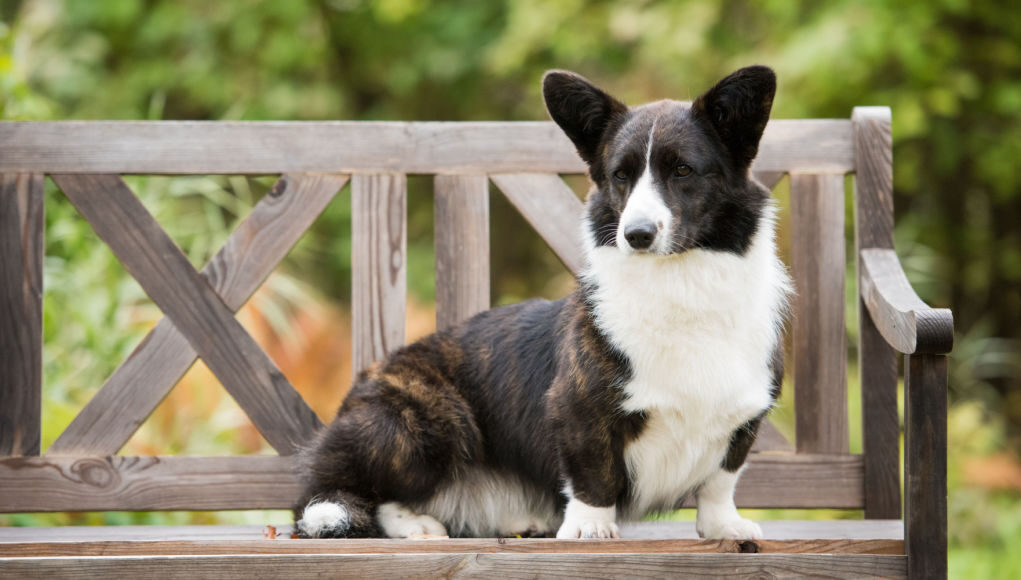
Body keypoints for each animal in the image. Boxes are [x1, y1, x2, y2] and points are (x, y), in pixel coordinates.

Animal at [294, 65, 788, 543]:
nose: (636, 235)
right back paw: (415, 525)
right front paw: (589, 527)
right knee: (346, 495)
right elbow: (593, 473)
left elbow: (720, 481)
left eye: (683, 170)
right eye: (620, 175)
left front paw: (724, 527)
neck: (679, 283)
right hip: (428, 422)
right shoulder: (578, 411)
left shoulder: (742, 421)